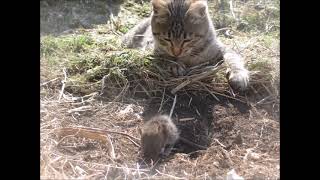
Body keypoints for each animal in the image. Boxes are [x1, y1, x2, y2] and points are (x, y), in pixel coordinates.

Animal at [122, 0, 250, 90]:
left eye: (187, 40)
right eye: (167, 39)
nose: (176, 52)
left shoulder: (222, 48)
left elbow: (233, 57)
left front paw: (239, 74)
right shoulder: (152, 49)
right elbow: (164, 57)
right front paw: (175, 64)